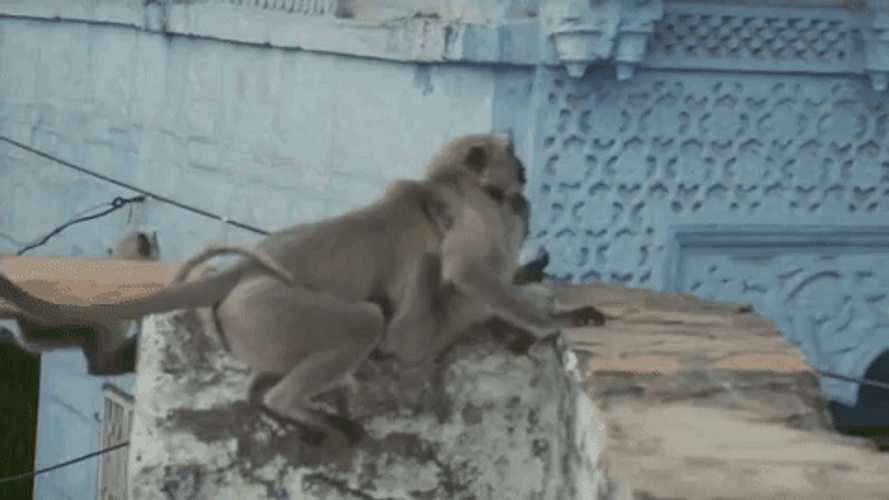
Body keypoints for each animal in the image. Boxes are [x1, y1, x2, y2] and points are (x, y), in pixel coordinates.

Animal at [0, 133, 549, 444]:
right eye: (511, 156)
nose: (524, 174)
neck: (445, 185)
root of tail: (240, 271)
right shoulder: (470, 223)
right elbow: (437, 309)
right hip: (268, 309)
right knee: (366, 321)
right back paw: (299, 407)